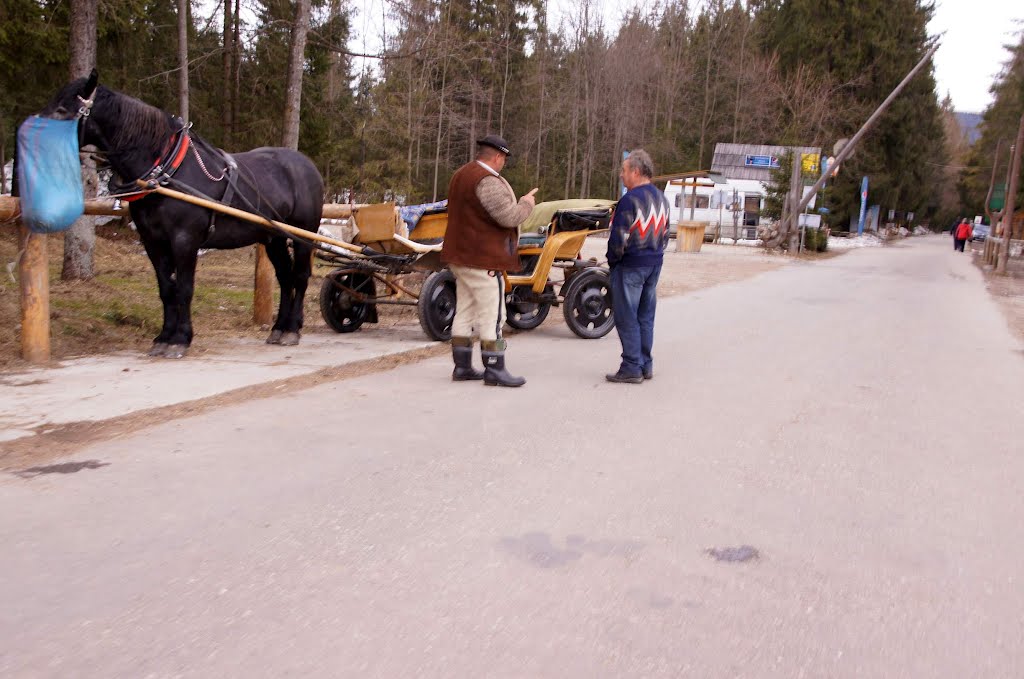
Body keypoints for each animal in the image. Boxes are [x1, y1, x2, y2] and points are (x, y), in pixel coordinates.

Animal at [40, 73, 323, 360]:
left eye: (62, 110)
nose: (36, 145)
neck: (167, 171)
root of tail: (307, 165)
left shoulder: (185, 240)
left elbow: (185, 289)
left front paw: (180, 339)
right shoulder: (153, 242)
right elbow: (167, 289)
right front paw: (163, 338)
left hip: (303, 233)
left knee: (300, 276)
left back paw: (292, 329)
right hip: (273, 237)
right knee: (285, 277)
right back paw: (279, 328)